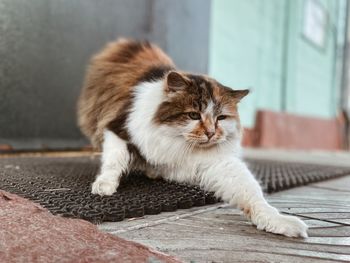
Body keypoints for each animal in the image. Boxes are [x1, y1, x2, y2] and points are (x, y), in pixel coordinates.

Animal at [78, 38, 308, 238]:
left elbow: (252, 195)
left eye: (221, 118)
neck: (178, 143)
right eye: (193, 115)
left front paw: (280, 223)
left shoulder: (220, 163)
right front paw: (104, 187)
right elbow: (114, 161)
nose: (211, 133)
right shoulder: (117, 129)